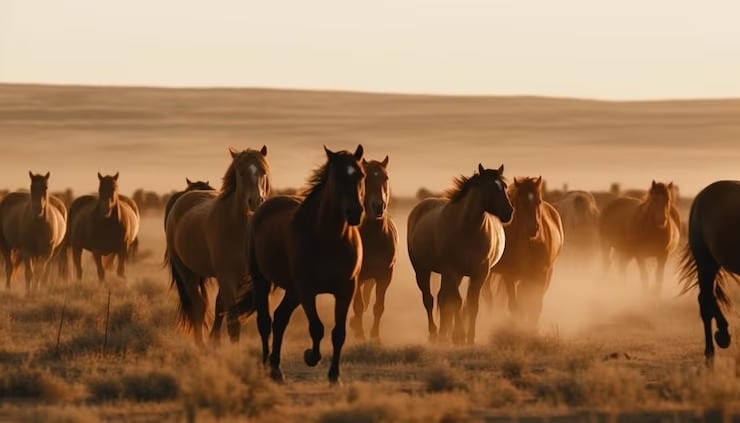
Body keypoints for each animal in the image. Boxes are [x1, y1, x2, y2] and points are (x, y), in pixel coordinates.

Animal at [165, 146, 269, 347]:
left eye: (263, 172)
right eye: (241, 172)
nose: (256, 201)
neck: (237, 227)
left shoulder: (240, 278)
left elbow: (221, 307)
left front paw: (216, 341)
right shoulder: (226, 276)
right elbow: (233, 322)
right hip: (186, 272)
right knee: (197, 305)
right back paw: (200, 345)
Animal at [231, 145, 366, 384]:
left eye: (361, 175)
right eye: (338, 177)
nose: (356, 213)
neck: (329, 238)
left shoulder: (345, 290)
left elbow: (338, 333)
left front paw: (334, 376)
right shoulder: (307, 290)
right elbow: (317, 328)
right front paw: (310, 356)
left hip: (292, 291)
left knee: (280, 319)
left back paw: (276, 369)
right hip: (263, 281)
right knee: (265, 322)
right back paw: (266, 366)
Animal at [349, 155, 398, 341]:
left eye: (386, 178)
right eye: (366, 179)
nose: (378, 206)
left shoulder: (385, 276)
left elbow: (378, 306)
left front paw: (375, 335)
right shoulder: (357, 276)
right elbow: (358, 305)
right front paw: (360, 333)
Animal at [407, 164, 513, 344]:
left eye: (504, 186)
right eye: (490, 188)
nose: (509, 212)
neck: (468, 229)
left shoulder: (479, 273)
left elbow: (471, 305)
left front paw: (470, 337)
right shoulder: (451, 270)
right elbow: (456, 302)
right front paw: (459, 335)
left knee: (443, 298)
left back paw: (444, 333)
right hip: (422, 270)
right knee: (429, 299)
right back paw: (435, 334)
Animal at [485, 177, 563, 329]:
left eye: (539, 201)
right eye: (520, 202)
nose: (533, 228)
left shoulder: (541, 274)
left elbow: (534, 304)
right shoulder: (509, 276)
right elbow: (515, 306)